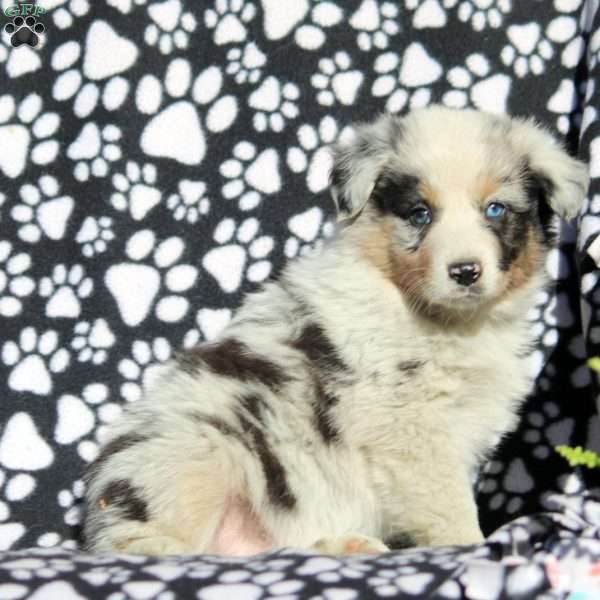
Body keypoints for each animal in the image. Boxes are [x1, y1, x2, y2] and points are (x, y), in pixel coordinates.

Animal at [82, 105, 588, 556]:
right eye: (420, 214)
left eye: (495, 210)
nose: (465, 271)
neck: (449, 321)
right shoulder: (409, 428)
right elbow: (449, 508)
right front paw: (471, 547)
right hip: (194, 454)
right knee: (150, 546)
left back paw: (345, 546)